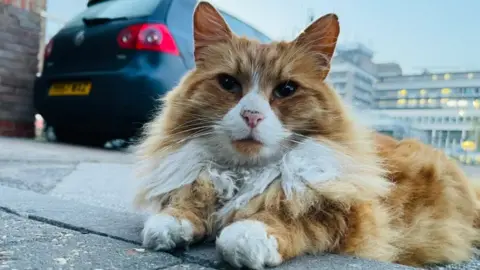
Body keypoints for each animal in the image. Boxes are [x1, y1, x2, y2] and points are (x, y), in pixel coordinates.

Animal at [131, 1, 480, 268]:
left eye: (286, 89)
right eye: (229, 83)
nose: (252, 115)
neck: (246, 173)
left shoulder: (345, 215)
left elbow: (285, 220)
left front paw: (247, 235)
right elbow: (181, 206)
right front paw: (173, 223)